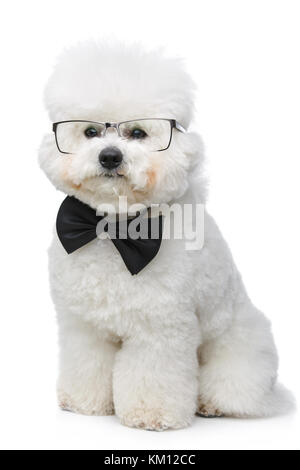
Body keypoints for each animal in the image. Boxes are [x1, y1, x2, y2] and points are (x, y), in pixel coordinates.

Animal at [38, 40, 292, 430]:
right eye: (90, 132)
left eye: (138, 134)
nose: (109, 156)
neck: (117, 229)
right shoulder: (84, 325)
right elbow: (87, 362)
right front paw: (83, 402)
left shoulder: (160, 329)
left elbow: (152, 375)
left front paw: (150, 414)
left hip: (242, 348)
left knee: (235, 388)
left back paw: (212, 404)